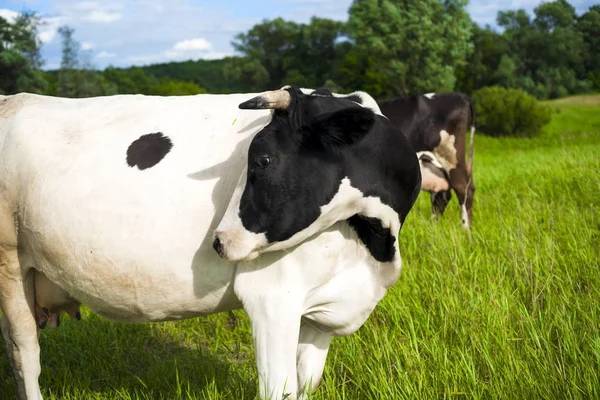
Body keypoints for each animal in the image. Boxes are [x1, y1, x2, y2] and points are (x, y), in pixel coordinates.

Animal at [0, 87, 422, 400]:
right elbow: (278, 389)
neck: (375, 248)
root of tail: (14, 98)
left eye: (263, 160)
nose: (218, 241)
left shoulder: (324, 314)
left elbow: (305, 385)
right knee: (25, 355)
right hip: (11, 265)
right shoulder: (272, 297)